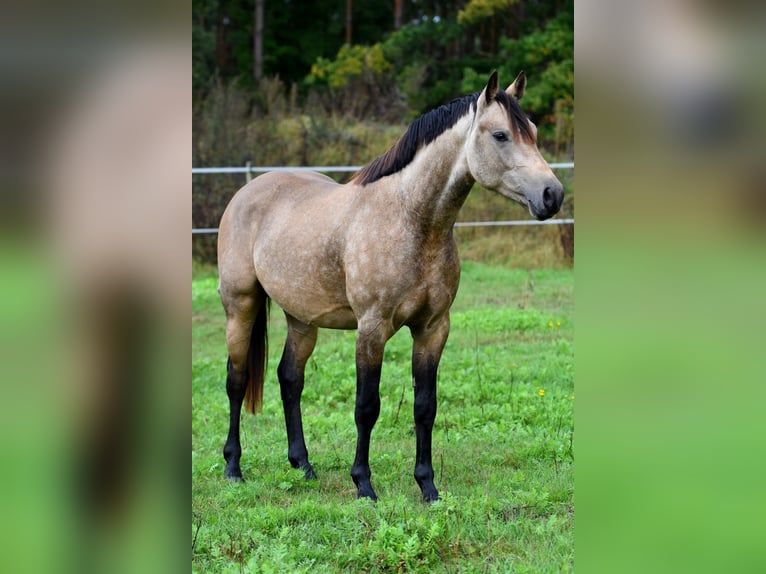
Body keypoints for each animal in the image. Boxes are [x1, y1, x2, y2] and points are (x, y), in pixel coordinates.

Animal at [216, 73, 564, 504]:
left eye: (533, 132)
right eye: (500, 135)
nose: (553, 195)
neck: (412, 221)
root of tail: (246, 192)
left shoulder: (433, 328)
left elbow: (425, 406)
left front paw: (428, 486)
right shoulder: (372, 328)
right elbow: (367, 406)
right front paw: (364, 484)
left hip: (302, 318)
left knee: (290, 380)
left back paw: (304, 467)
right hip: (240, 305)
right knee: (236, 380)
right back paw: (233, 468)